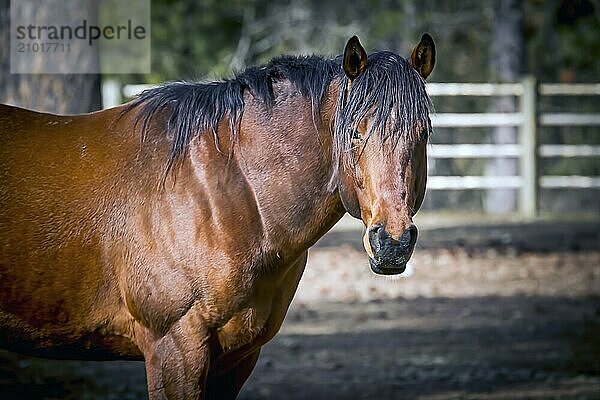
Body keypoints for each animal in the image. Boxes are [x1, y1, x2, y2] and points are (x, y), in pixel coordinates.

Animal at [1, 36, 436, 398]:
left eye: (424, 133)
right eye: (355, 132)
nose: (393, 243)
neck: (221, 193)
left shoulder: (236, 357)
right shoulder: (174, 349)